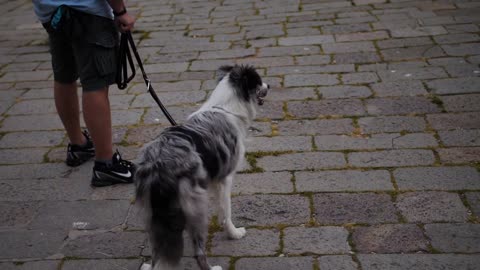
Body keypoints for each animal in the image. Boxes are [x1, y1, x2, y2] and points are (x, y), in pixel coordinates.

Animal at [135, 65, 268, 270]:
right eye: (259, 81)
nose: (269, 86)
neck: (226, 108)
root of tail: (158, 166)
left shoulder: (212, 179)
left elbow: (221, 208)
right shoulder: (225, 179)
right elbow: (226, 211)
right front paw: (234, 233)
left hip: (153, 217)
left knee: (157, 251)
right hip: (195, 208)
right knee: (198, 252)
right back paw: (212, 267)